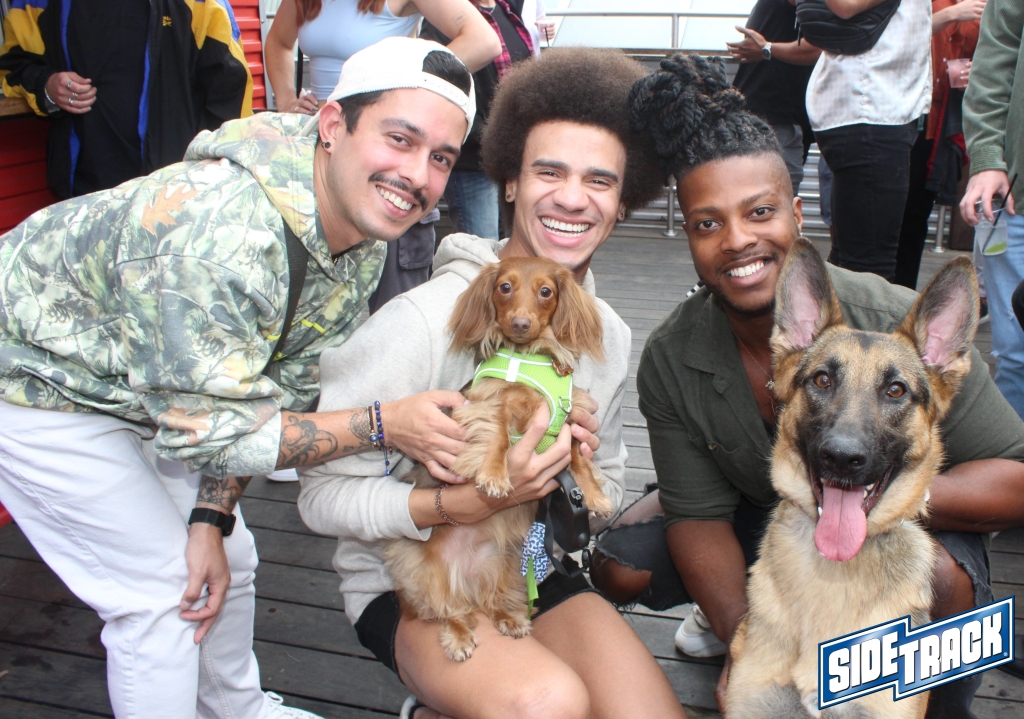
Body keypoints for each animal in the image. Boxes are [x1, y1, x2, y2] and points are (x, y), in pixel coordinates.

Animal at [385, 256, 613, 661]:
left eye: (546, 291)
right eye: (504, 287)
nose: (520, 323)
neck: (534, 356)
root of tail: (466, 581)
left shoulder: (569, 417)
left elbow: (577, 459)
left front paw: (594, 495)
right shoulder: (490, 404)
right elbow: (498, 438)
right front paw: (494, 475)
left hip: (503, 562)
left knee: (489, 601)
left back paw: (509, 618)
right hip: (419, 569)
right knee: (446, 610)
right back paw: (459, 635)